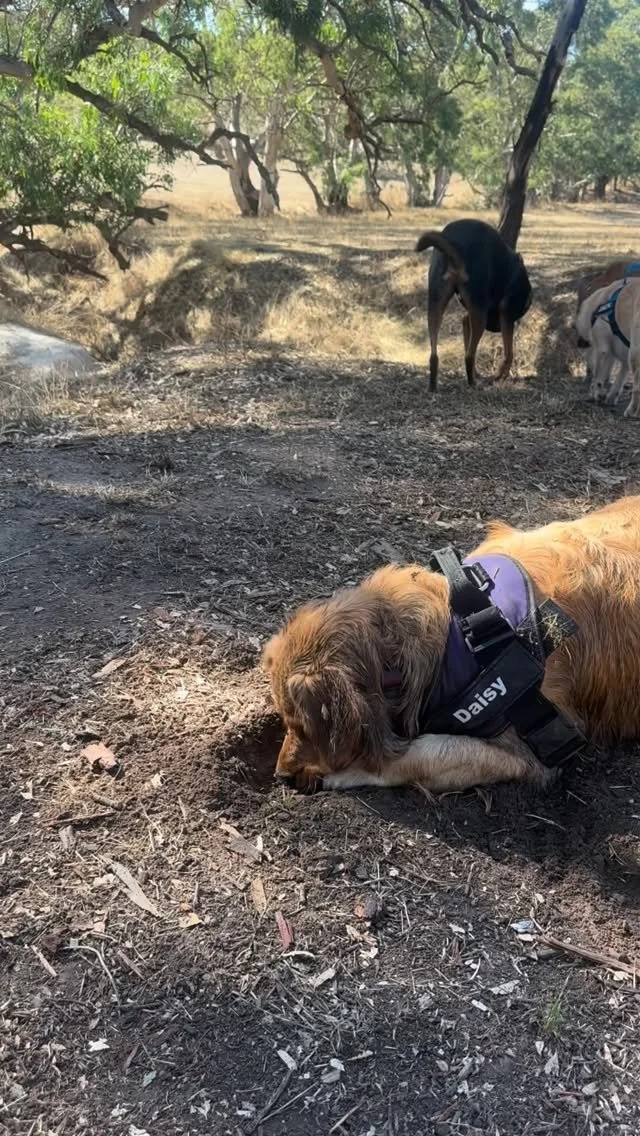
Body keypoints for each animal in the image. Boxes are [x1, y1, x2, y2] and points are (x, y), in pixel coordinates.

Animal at [264, 496, 640, 795]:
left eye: (303, 726)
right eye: (284, 719)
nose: (280, 774)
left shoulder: (535, 749)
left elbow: (422, 753)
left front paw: (346, 772)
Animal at [415, 219, 532, 391]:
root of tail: (456, 241)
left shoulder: (467, 317)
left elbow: (467, 335)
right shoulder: (506, 314)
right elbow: (509, 353)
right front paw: (499, 375)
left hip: (436, 303)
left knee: (435, 355)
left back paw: (433, 387)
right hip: (480, 316)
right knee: (469, 356)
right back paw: (473, 384)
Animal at [575, 277, 640, 415]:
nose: (579, 343)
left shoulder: (602, 350)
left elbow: (599, 377)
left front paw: (595, 393)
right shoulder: (624, 358)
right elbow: (619, 379)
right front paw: (611, 396)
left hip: (635, 355)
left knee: (637, 388)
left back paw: (632, 410)